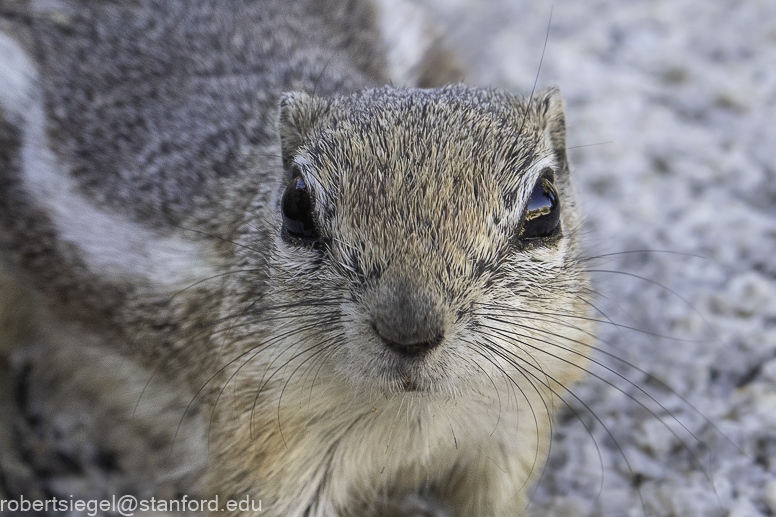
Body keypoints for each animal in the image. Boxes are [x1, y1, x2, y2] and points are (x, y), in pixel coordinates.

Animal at [1, 2, 596, 512]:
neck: (415, 413)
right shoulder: (269, 441)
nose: (410, 331)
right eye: (295, 206)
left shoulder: (513, 428)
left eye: (544, 208)